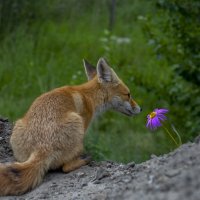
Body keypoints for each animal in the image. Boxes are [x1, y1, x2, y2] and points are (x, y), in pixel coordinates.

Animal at [0, 57, 141, 195]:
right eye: (128, 94)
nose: (140, 109)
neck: (88, 96)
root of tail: (42, 147)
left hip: (18, 128)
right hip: (78, 126)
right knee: (65, 167)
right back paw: (84, 159)